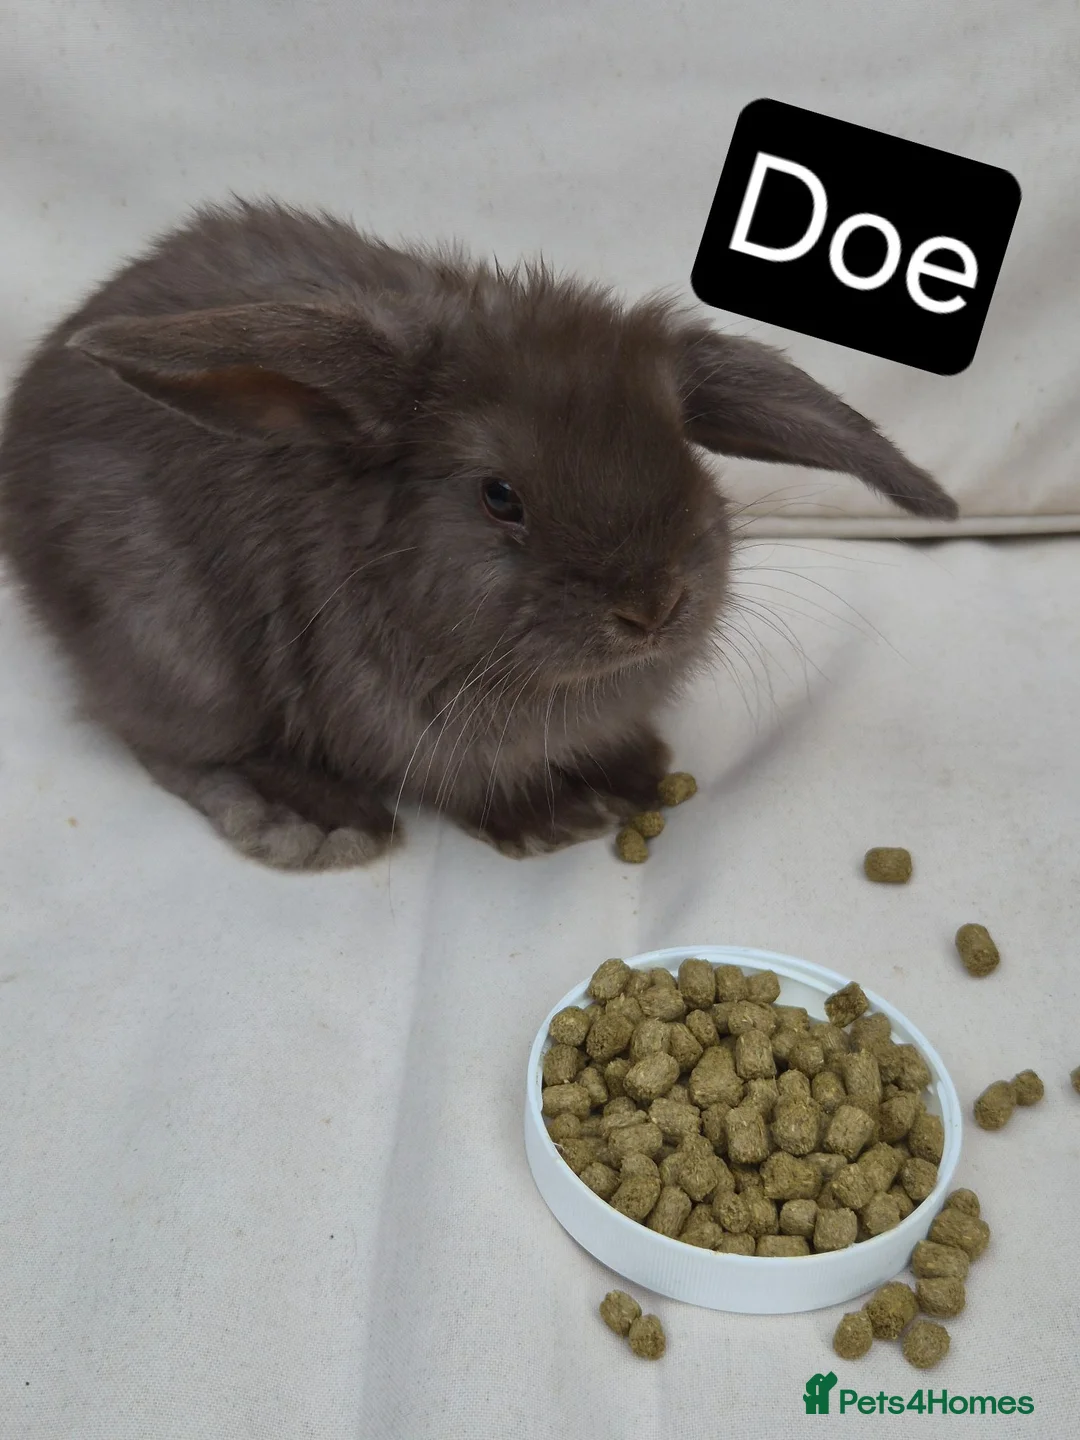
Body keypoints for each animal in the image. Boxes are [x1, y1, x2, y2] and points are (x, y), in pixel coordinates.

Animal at [0, 199, 957, 870]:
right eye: (500, 497)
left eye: (682, 450)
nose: (652, 608)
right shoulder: (415, 736)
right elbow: (464, 787)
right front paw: (553, 820)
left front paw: (632, 775)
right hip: (175, 642)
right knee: (167, 740)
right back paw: (313, 820)